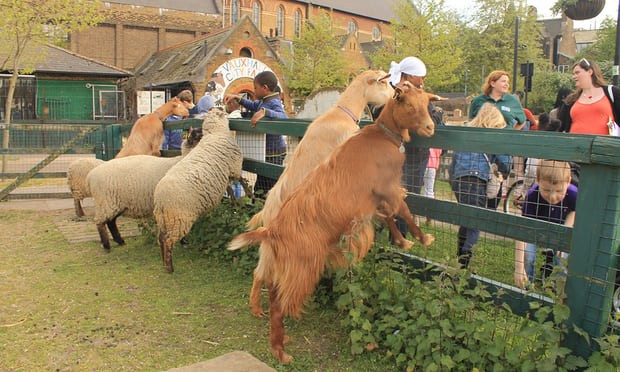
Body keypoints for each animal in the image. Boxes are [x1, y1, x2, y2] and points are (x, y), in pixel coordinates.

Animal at [154, 108, 243, 274]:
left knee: (161, 238)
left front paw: (235, 201)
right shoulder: (234, 167)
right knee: (168, 240)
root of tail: (160, 199)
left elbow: (230, 188)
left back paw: (164, 263)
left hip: (163, 219)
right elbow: (239, 180)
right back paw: (170, 267)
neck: (215, 133)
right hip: (179, 218)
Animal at [230, 82, 438, 364]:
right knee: (280, 305)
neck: (380, 136)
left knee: (272, 295)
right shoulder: (387, 186)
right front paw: (422, 238)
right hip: (303, 268)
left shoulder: (375, 196)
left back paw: (279, 336)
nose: (430, 128)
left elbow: (388, 215)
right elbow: (402, 210)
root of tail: (271, 231)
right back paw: (280, 352)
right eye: (408, 103)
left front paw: (401, 241)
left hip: (285, 267)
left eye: (426, 102)